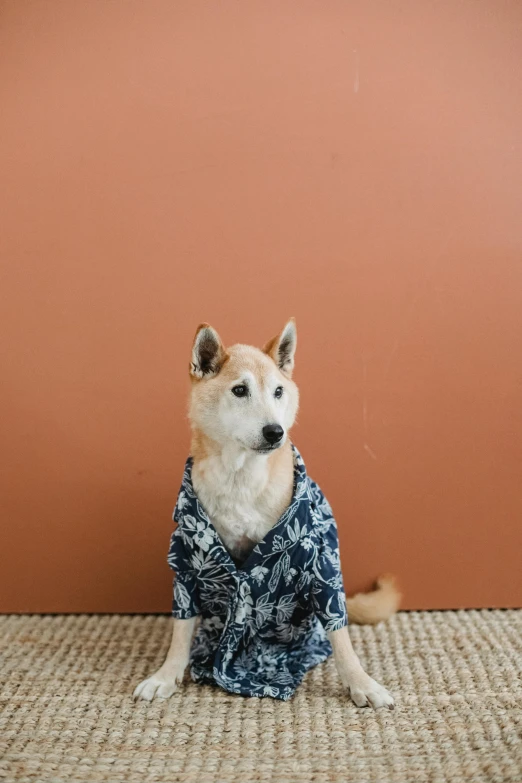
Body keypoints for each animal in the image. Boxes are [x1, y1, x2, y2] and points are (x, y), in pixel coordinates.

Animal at [133, 320, 398, 712]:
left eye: (277, 391)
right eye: (239, 390)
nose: (275, 431)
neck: (240, 478)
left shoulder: (318, 563)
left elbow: (340, 635)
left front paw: (361, 683)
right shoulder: (188, 562)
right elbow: (181, 630)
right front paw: (166, 675)